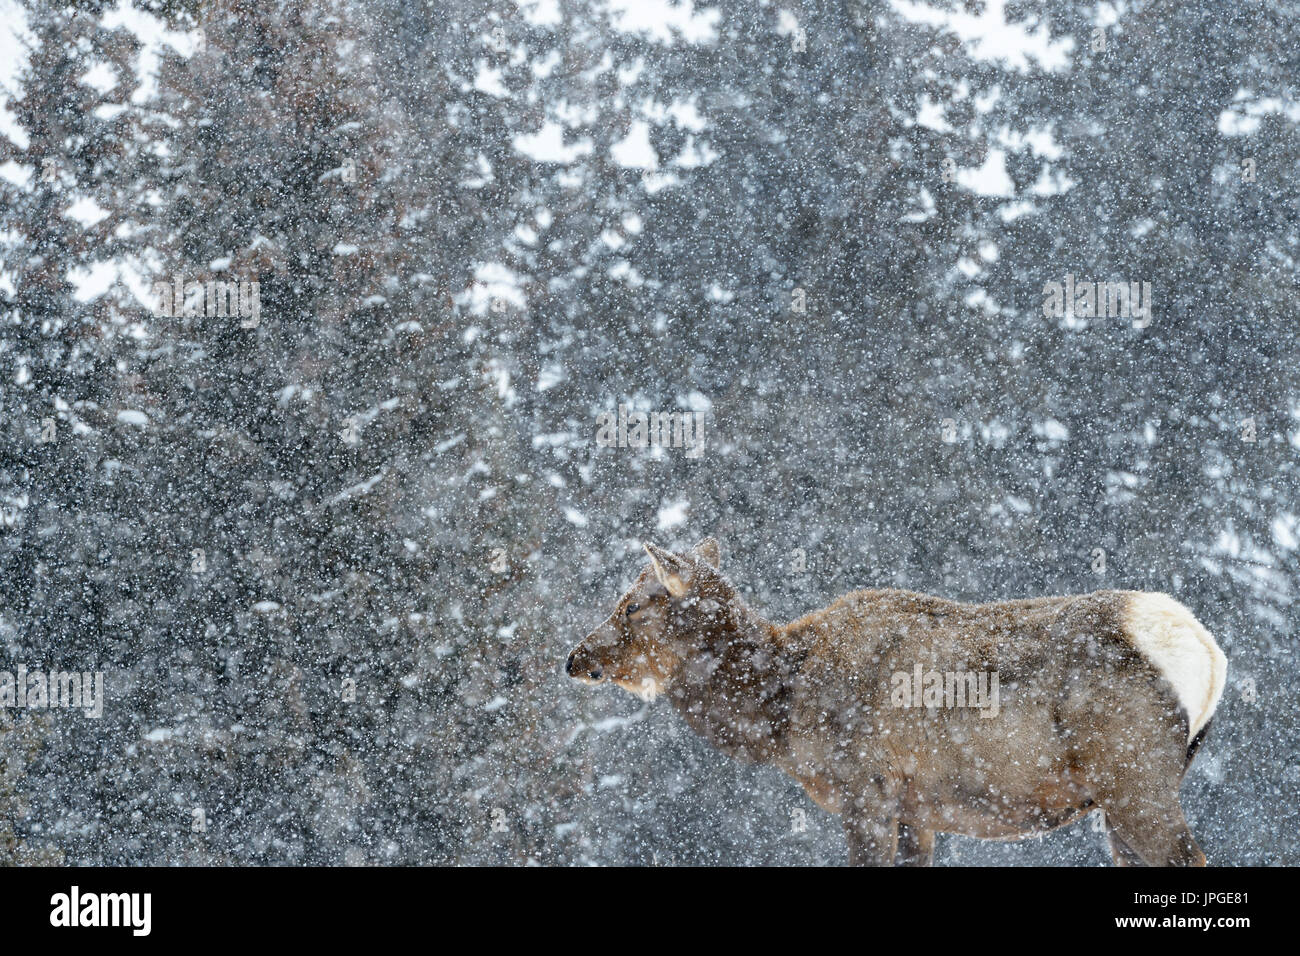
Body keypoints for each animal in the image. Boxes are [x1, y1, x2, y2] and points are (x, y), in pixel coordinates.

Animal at [564, 538, 1222, 868]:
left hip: (1134, 779)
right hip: (1121, 799)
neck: (784, 712)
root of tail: (1210, 656)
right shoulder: (918, 808)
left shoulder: (866, 787)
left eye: (631, 605)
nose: (574, 657)